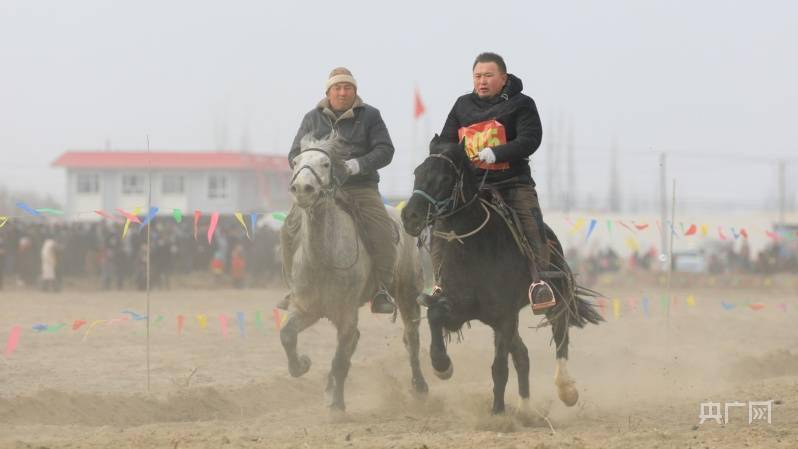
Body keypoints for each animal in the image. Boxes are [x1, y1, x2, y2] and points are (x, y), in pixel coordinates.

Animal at [282, 133, 432, 410]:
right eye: (296, 161)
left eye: (325, 163)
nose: (302, 188)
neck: (323, 258)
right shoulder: (306, 308)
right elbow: (287, 335)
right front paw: (303, 365)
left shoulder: (347, 314)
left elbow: (340, 359)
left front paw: (337, 407)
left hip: (407, 294)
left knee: (412, 338)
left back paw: (420, 386)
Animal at [404, 139, 604, 412]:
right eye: (417, 172)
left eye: (445, 178)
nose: (409, 216)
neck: (474, 248)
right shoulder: (459, 307)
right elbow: (435, 314)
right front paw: (442, 366)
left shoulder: (505, 315)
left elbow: (499, 367)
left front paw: (498, 412)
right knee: (522, 355)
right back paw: (525, 409)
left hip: (555, 298)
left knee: (560, 334)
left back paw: (566, 389)